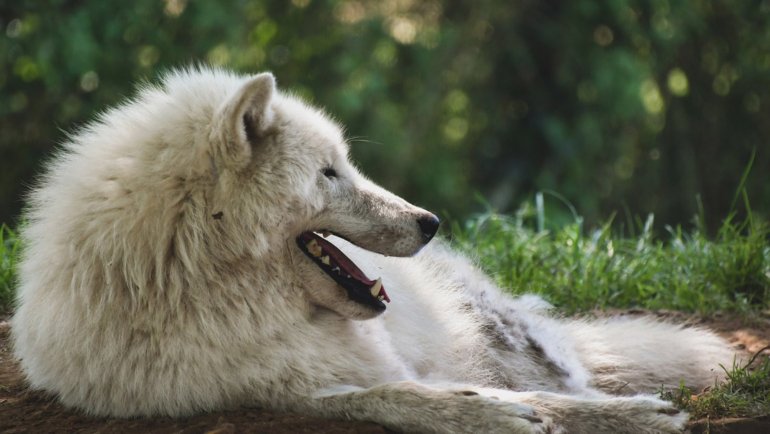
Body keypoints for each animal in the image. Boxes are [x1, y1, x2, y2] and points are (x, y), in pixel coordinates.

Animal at [12, 68, 732, 434]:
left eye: (346, 164)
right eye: (330, 173)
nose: (430, 220)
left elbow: (549, 400)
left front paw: (629, 416)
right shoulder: (272, 387)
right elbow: (389, 398)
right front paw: (488, 414)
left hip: (507, 334)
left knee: (568, 373)